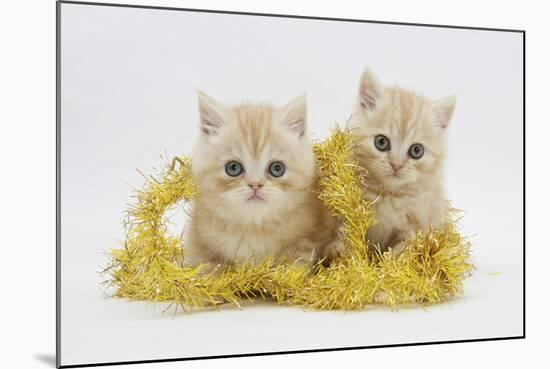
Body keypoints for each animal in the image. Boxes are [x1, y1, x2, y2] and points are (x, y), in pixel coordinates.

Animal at [185, 92, 340, 270]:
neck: (253, 229)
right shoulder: (198, 244)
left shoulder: (306, 240)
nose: (255, 184)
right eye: (233, 168)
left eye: (277, 168)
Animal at [350, 67, 458, 253]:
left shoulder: (415, 227)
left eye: (416, 150)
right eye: (381, 142)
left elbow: (399, 253)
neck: (389, 195)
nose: (396, 165)